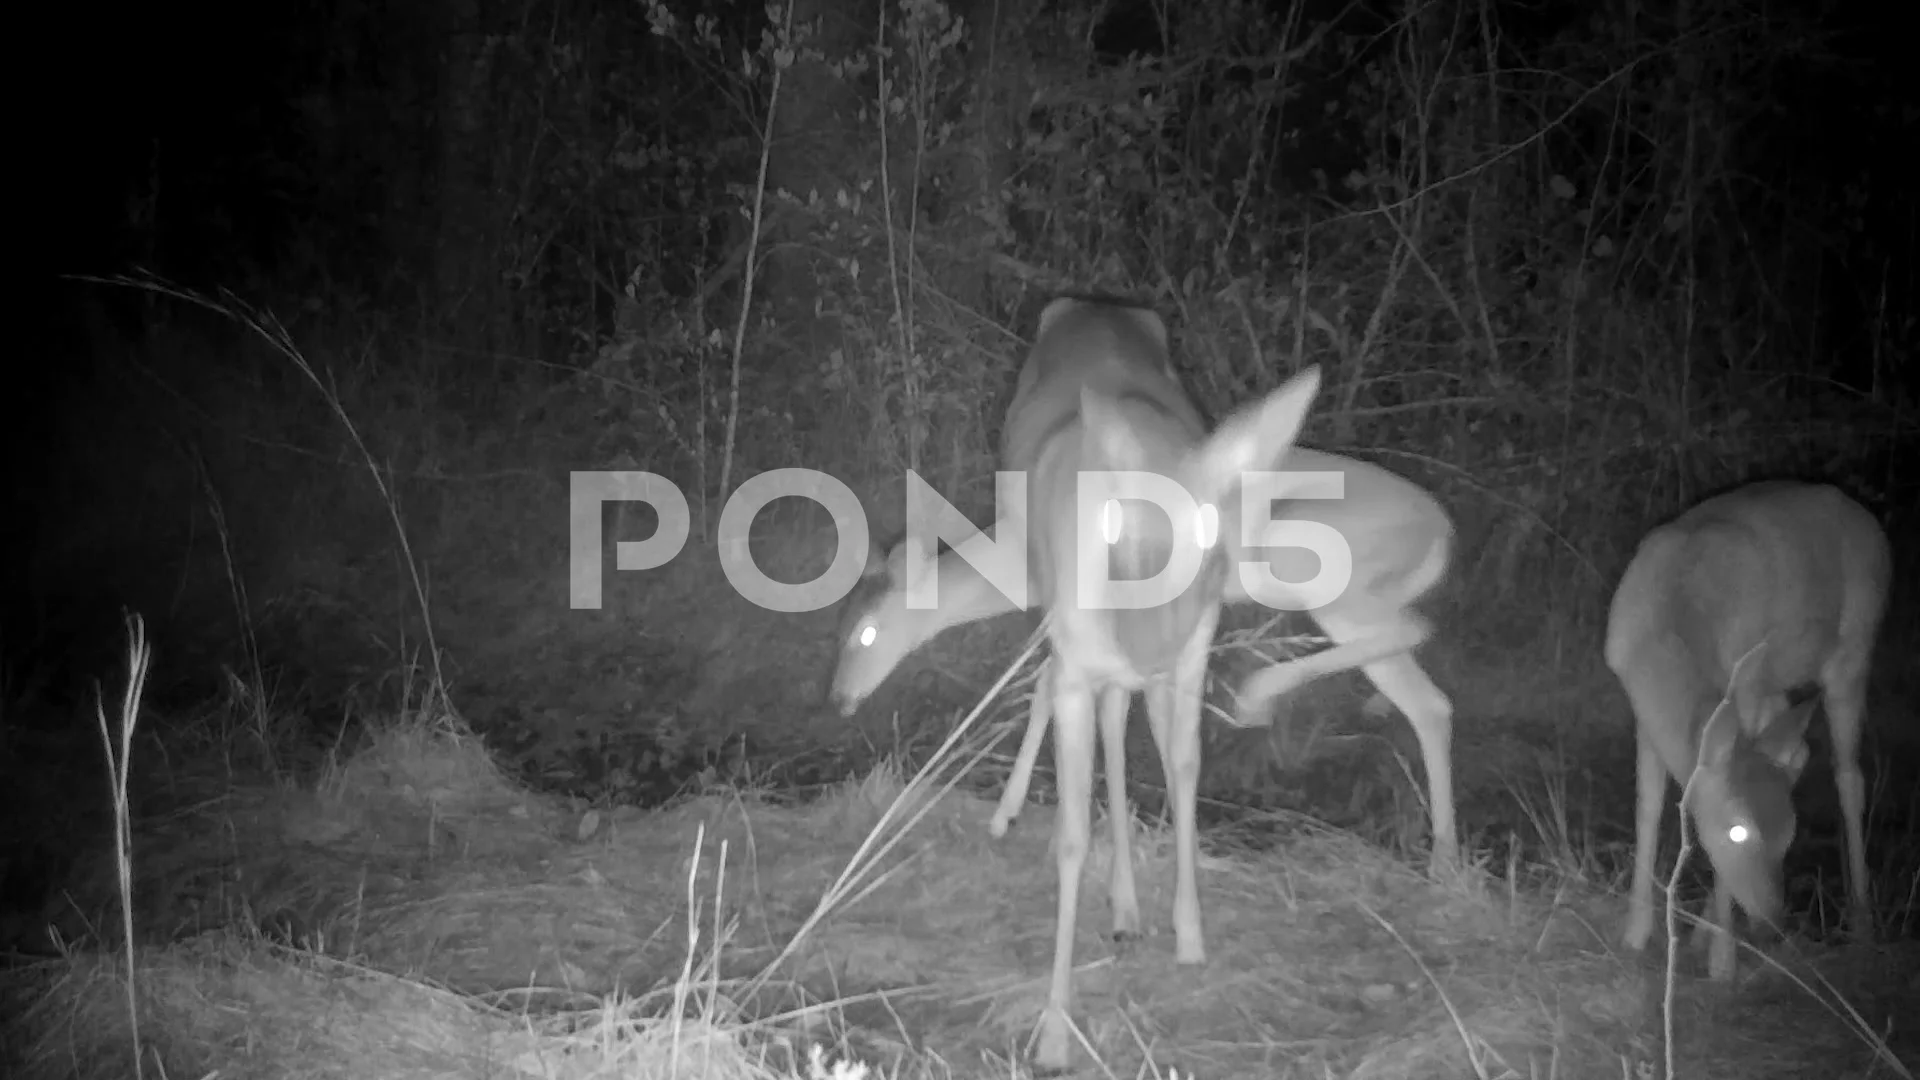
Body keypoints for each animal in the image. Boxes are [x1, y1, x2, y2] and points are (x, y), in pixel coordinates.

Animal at [830, 448, 1459, 871]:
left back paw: (1257, 696)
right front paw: (1010, 814)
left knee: (1417, 633)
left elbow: (1049, 686)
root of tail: (1442, 531)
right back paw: (1444, 859)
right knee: (1429, 702)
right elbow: (1048, 685)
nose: (839, 696)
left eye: (865, 632)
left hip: (1320, 572)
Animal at [1607, 481, 1890, 980]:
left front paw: (1723, 961)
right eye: (1739, 831)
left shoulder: (1747, 686)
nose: (1774, 922)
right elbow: (1649, 805)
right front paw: (1636, 934)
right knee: (1801, 752)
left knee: (1849, 775)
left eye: (1791, 833)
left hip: (1853, 650)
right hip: (1783, 687)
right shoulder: (1644, 709)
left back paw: (1861, 922)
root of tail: (1869, 520)